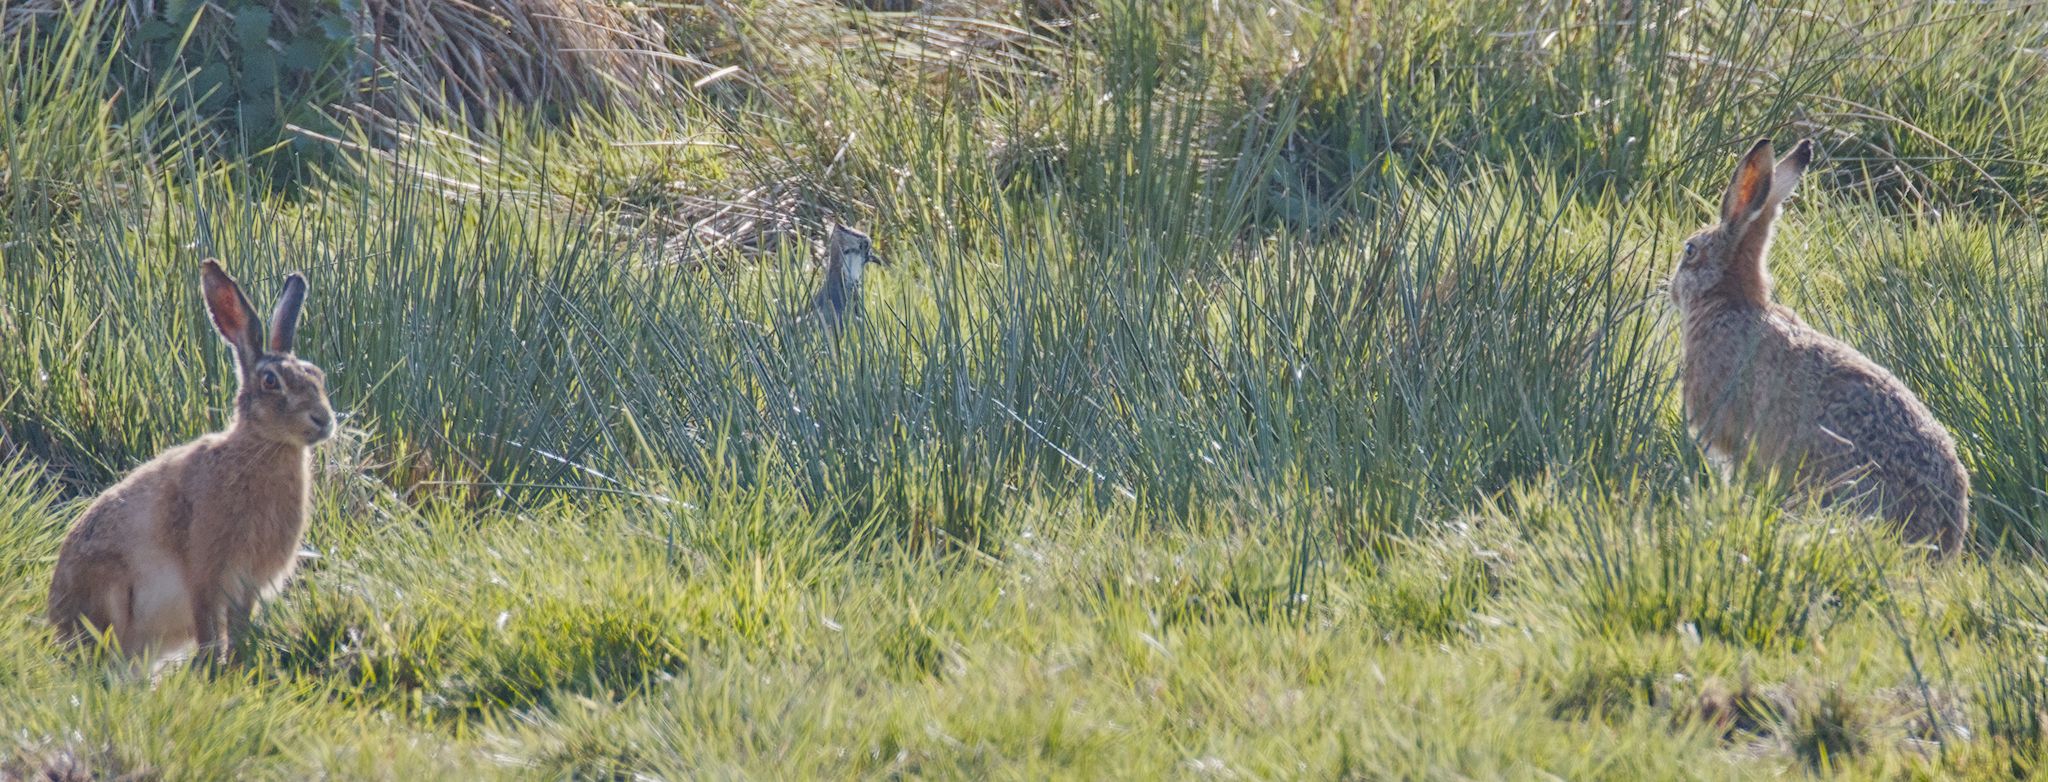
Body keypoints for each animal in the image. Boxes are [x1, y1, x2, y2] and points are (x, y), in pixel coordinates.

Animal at [47, 259, 334, 668]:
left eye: (318, 376)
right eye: (270, 381)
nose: (323, 420)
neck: (260, 447)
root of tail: (58, 625)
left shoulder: (246, 586)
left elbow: (239, 628)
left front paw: (237, 667)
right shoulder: (206, 574)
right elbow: (209, 628)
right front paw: (214, 670)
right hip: (110, 591)